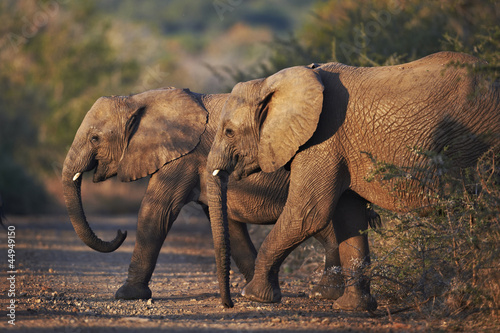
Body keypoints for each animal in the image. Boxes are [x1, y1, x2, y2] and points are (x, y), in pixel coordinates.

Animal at [60, 87, 378, 302]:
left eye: (95, 138)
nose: (119, 232)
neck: (140, 99)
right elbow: (230, 227)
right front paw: (249, 289)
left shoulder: (183, 158)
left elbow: (156, 211)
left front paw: (126, 295)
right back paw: (327, 294)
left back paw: (326, 294)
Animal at [207, 50, 500, 310]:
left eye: (229, 132)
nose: (228, 304)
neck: (275, 83)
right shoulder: (341, 149)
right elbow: (350, 220)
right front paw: (352, 307)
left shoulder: (323, 140)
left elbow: (306, 214)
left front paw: (253, 296)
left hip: (476, 138)